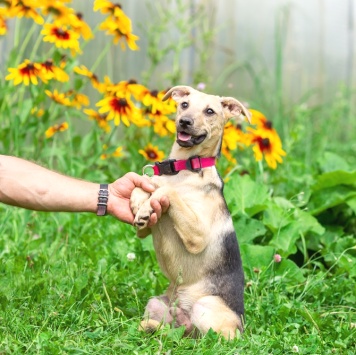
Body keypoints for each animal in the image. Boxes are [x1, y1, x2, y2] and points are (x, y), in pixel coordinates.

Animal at [130, 85, 250, 340]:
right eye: (184, 104)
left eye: (210, 111)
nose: (185, 121)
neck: (182, 168)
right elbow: (145, 184)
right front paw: (139, 203)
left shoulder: (198, 236)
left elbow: (166, 190)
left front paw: (149, 201)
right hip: (156, 303)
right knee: (176, 332)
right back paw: (152, 327)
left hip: (205, 308)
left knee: (210, 339)